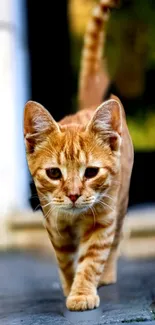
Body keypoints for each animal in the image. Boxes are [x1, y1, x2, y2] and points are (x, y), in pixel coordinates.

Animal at [23, 0, 134, 310]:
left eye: (91, 172)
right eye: (54, 173)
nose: (73, 195)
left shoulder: (104, 220)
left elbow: (92, 259)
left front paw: (82, 291)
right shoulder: (53, 224)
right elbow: (65, 259)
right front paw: (69, 284)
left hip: (120, 204)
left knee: (116, 242)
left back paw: (106, 276)